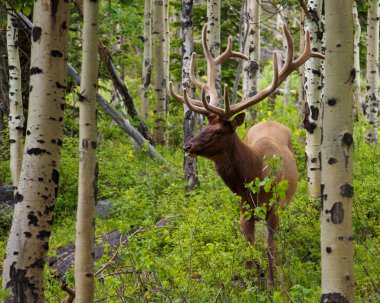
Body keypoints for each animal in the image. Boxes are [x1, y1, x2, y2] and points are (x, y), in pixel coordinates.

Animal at [169, 25, 324, 286]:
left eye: (218, 131)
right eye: (204, 125)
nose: (187, 146)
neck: (254, 174)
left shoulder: (274, 206)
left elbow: (270, 247)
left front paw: (274, 284)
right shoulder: (244, 208)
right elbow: (248, 246)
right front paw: (250, 282)